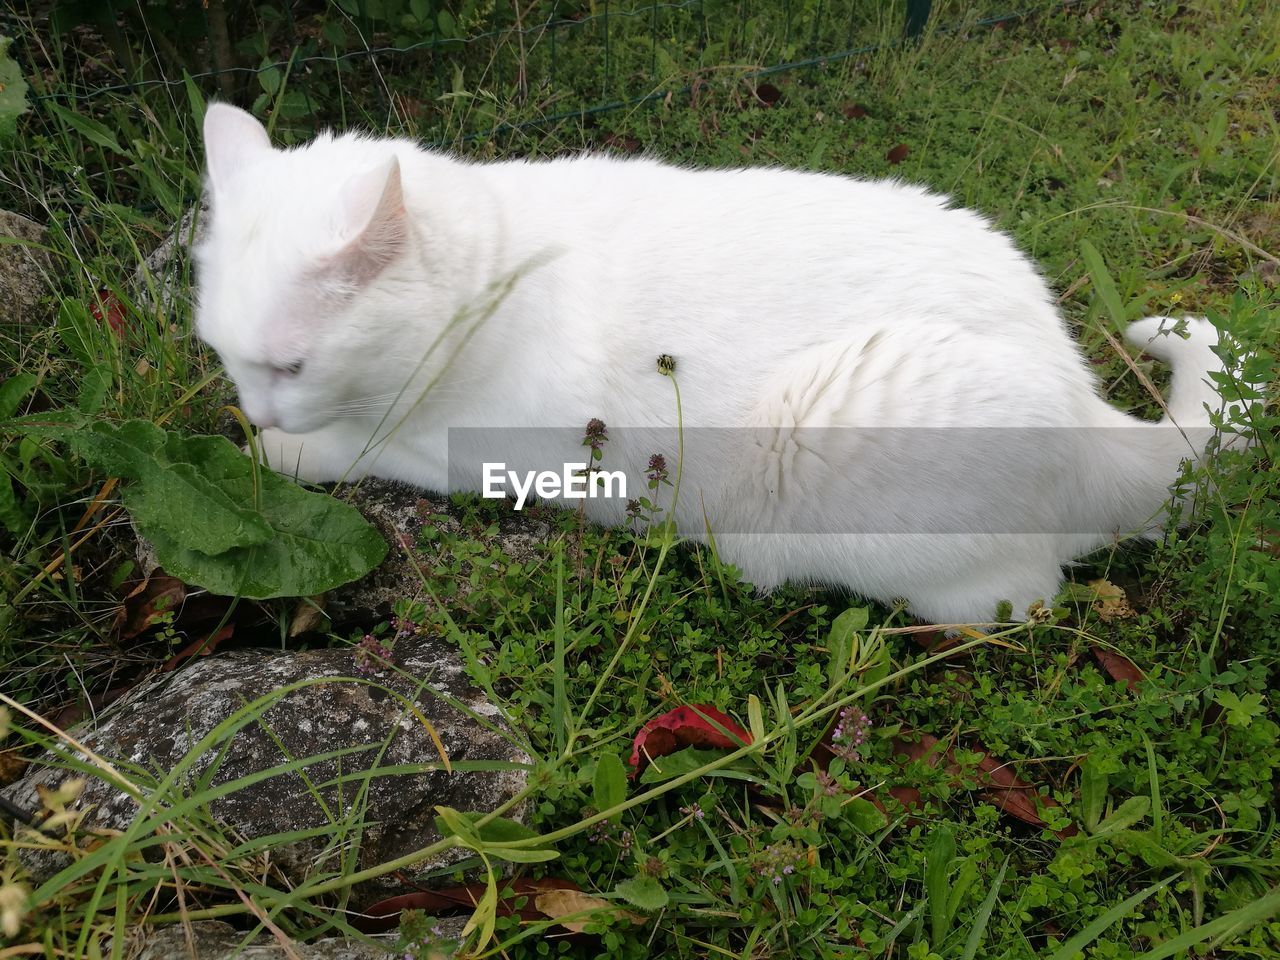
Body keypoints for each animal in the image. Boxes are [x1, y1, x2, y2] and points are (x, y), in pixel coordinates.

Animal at [192, 103, 1239, 624]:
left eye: (289, 366)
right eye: (222, 355)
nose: (261, 410)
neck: (504, 269)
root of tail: (1090, 411)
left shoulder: (474, 455)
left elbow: (363, 448)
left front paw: (279, 451)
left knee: (1023, 597)